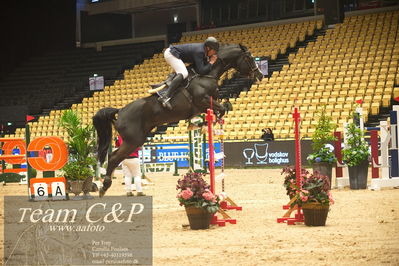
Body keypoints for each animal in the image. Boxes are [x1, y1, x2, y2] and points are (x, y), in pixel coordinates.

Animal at [92, 43, 264, 196]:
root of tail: (120, 111)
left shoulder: (205, 106)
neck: (207, 74)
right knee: (113, 158)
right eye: (249, 58)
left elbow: (220, 109)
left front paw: (201, 125)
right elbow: (221, 109)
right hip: (133, 141)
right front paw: (207, 123)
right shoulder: (202, 100)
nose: (260, 76)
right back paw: (104, 186)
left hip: (136, 140)